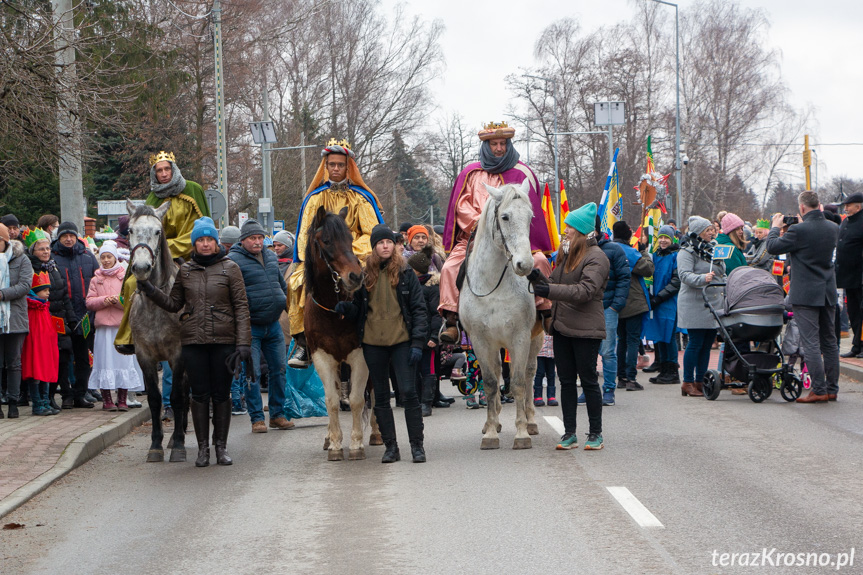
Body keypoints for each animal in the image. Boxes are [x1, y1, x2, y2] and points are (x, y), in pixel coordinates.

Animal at [462, 180, 544, 450]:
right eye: (505, 217)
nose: (525, 265)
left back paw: (530, 420)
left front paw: (521, 433)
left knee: (529, 374)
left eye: (530, 218)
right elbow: (489, 383)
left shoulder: (519, 338)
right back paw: (494, 422)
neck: (493, 287)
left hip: (535, 340)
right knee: (498, 374)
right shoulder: (480, 340)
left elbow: (517, 383)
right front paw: (490, 433)